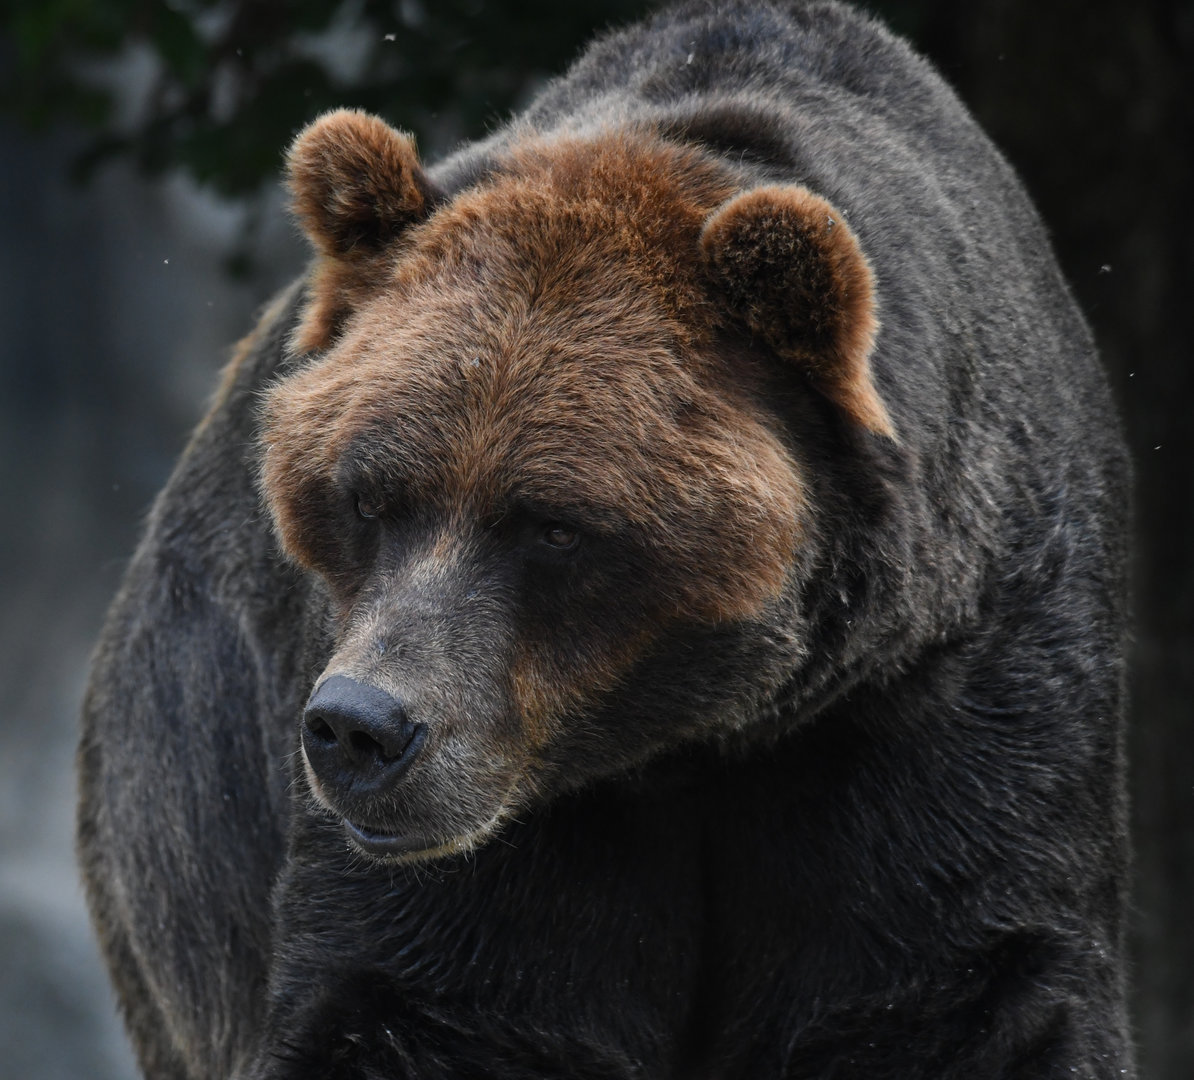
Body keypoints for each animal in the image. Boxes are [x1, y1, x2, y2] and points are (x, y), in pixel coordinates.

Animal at [77, 1, 1134, 1077]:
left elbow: (963, 987)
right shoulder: (504, 819)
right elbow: (416, 993)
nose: (360, 727)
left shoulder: (941, 685)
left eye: (553, 525)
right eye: (367, 496)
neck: (699, 737)